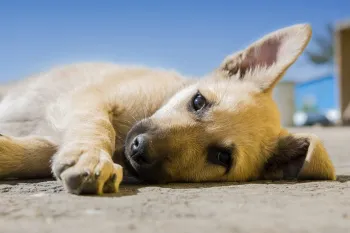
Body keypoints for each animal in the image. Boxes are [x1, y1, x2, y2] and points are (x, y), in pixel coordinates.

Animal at [0, 24, 336, 195]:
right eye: (198, 101)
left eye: (222, 157)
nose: (138, 149)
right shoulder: (87, 98)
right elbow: (97, 126)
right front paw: (91, 156)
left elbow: (40, 152)